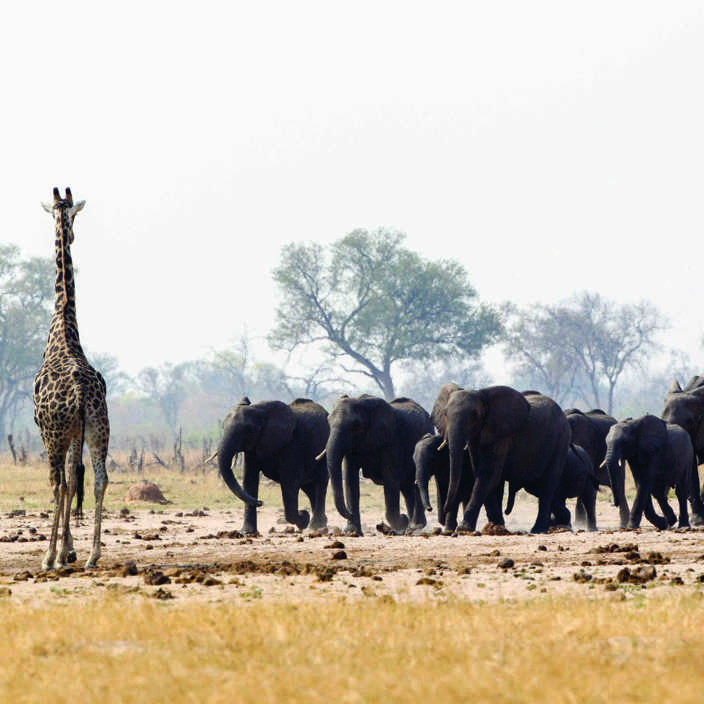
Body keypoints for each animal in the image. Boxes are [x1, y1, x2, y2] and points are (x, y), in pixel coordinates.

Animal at [217, 397, 329, 534]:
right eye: (223, 427)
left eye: (248, 429)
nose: (260, 502)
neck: (260, 412)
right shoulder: (253, 448)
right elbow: (249, 480)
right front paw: (247, 532)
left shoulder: (291, 443)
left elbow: (289, 483)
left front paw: (303, 518)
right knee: (309, 488)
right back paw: (320, 523)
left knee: (320, 483)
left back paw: (315, 526)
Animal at [323, 395, 433, 535]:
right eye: (328, 421)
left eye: (356, 426)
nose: (349, 514)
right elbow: (350, 480)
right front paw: (353, 533)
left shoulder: (392, 440)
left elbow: (391, 480)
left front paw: (401, 523)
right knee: (407, 487)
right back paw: (412, 526)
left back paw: (414, 526)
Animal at [443, 385, 570, 534]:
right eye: (445, 414)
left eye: (475, 415)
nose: (445, 508)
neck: (483, 394)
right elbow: (483, 475)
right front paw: (495, 527)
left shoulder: (502, 436)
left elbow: (488, 474)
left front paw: (464, 529)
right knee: (536, 486)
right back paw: (564, 521)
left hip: (561, 440)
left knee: (547, 485)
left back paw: (538, 530)